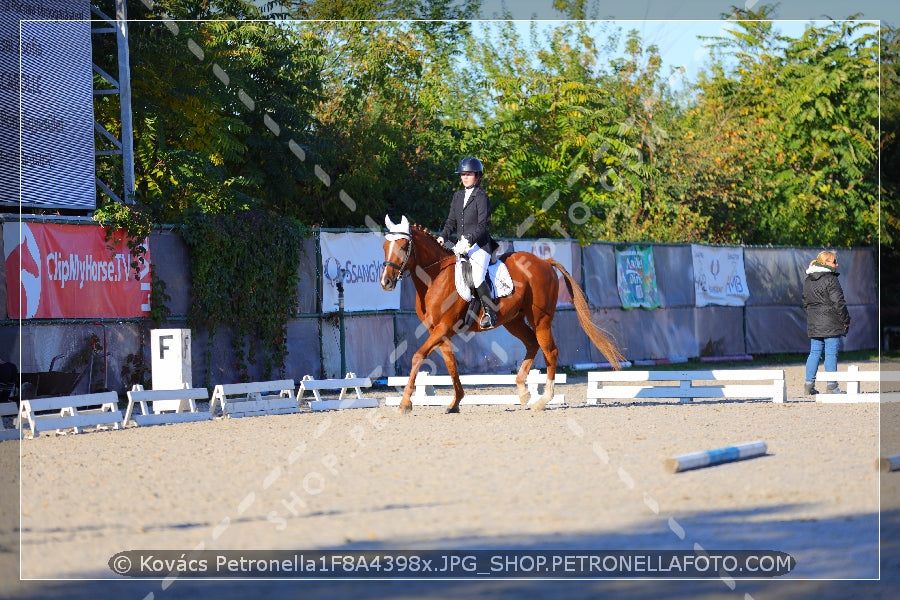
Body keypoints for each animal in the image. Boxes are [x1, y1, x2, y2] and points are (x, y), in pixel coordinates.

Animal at [376, 213, 624, 414]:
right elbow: (451, 364)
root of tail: (544, 261)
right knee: (532, 343)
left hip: (541, 319)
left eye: (403, 246)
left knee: (550, 351)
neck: (436, 277)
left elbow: (418, 356)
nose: (386, 282)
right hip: (513, 321)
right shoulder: (440, 331)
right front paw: (456, 402)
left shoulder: (443, 328)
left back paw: (542, 400)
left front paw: (405, 404)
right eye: (384, 246)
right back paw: (523, 391)